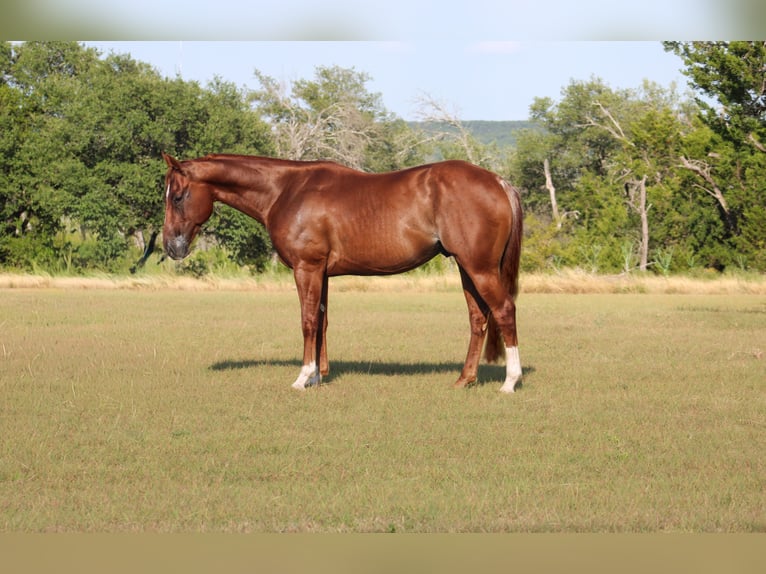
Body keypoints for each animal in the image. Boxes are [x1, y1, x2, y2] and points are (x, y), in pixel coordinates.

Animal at [161, 152, 524, 393]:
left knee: (504, 310)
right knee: (478, 318)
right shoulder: (321, 273)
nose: (170, 246)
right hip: (467, 268)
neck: (285, 190)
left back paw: (510, 381)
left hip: (479, 268)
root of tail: (498, 181)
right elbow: (321, 321)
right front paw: (319, 375)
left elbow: (308, 320)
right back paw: (465, 378)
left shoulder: (307, 268)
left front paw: (303, 377)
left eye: (177, 197)